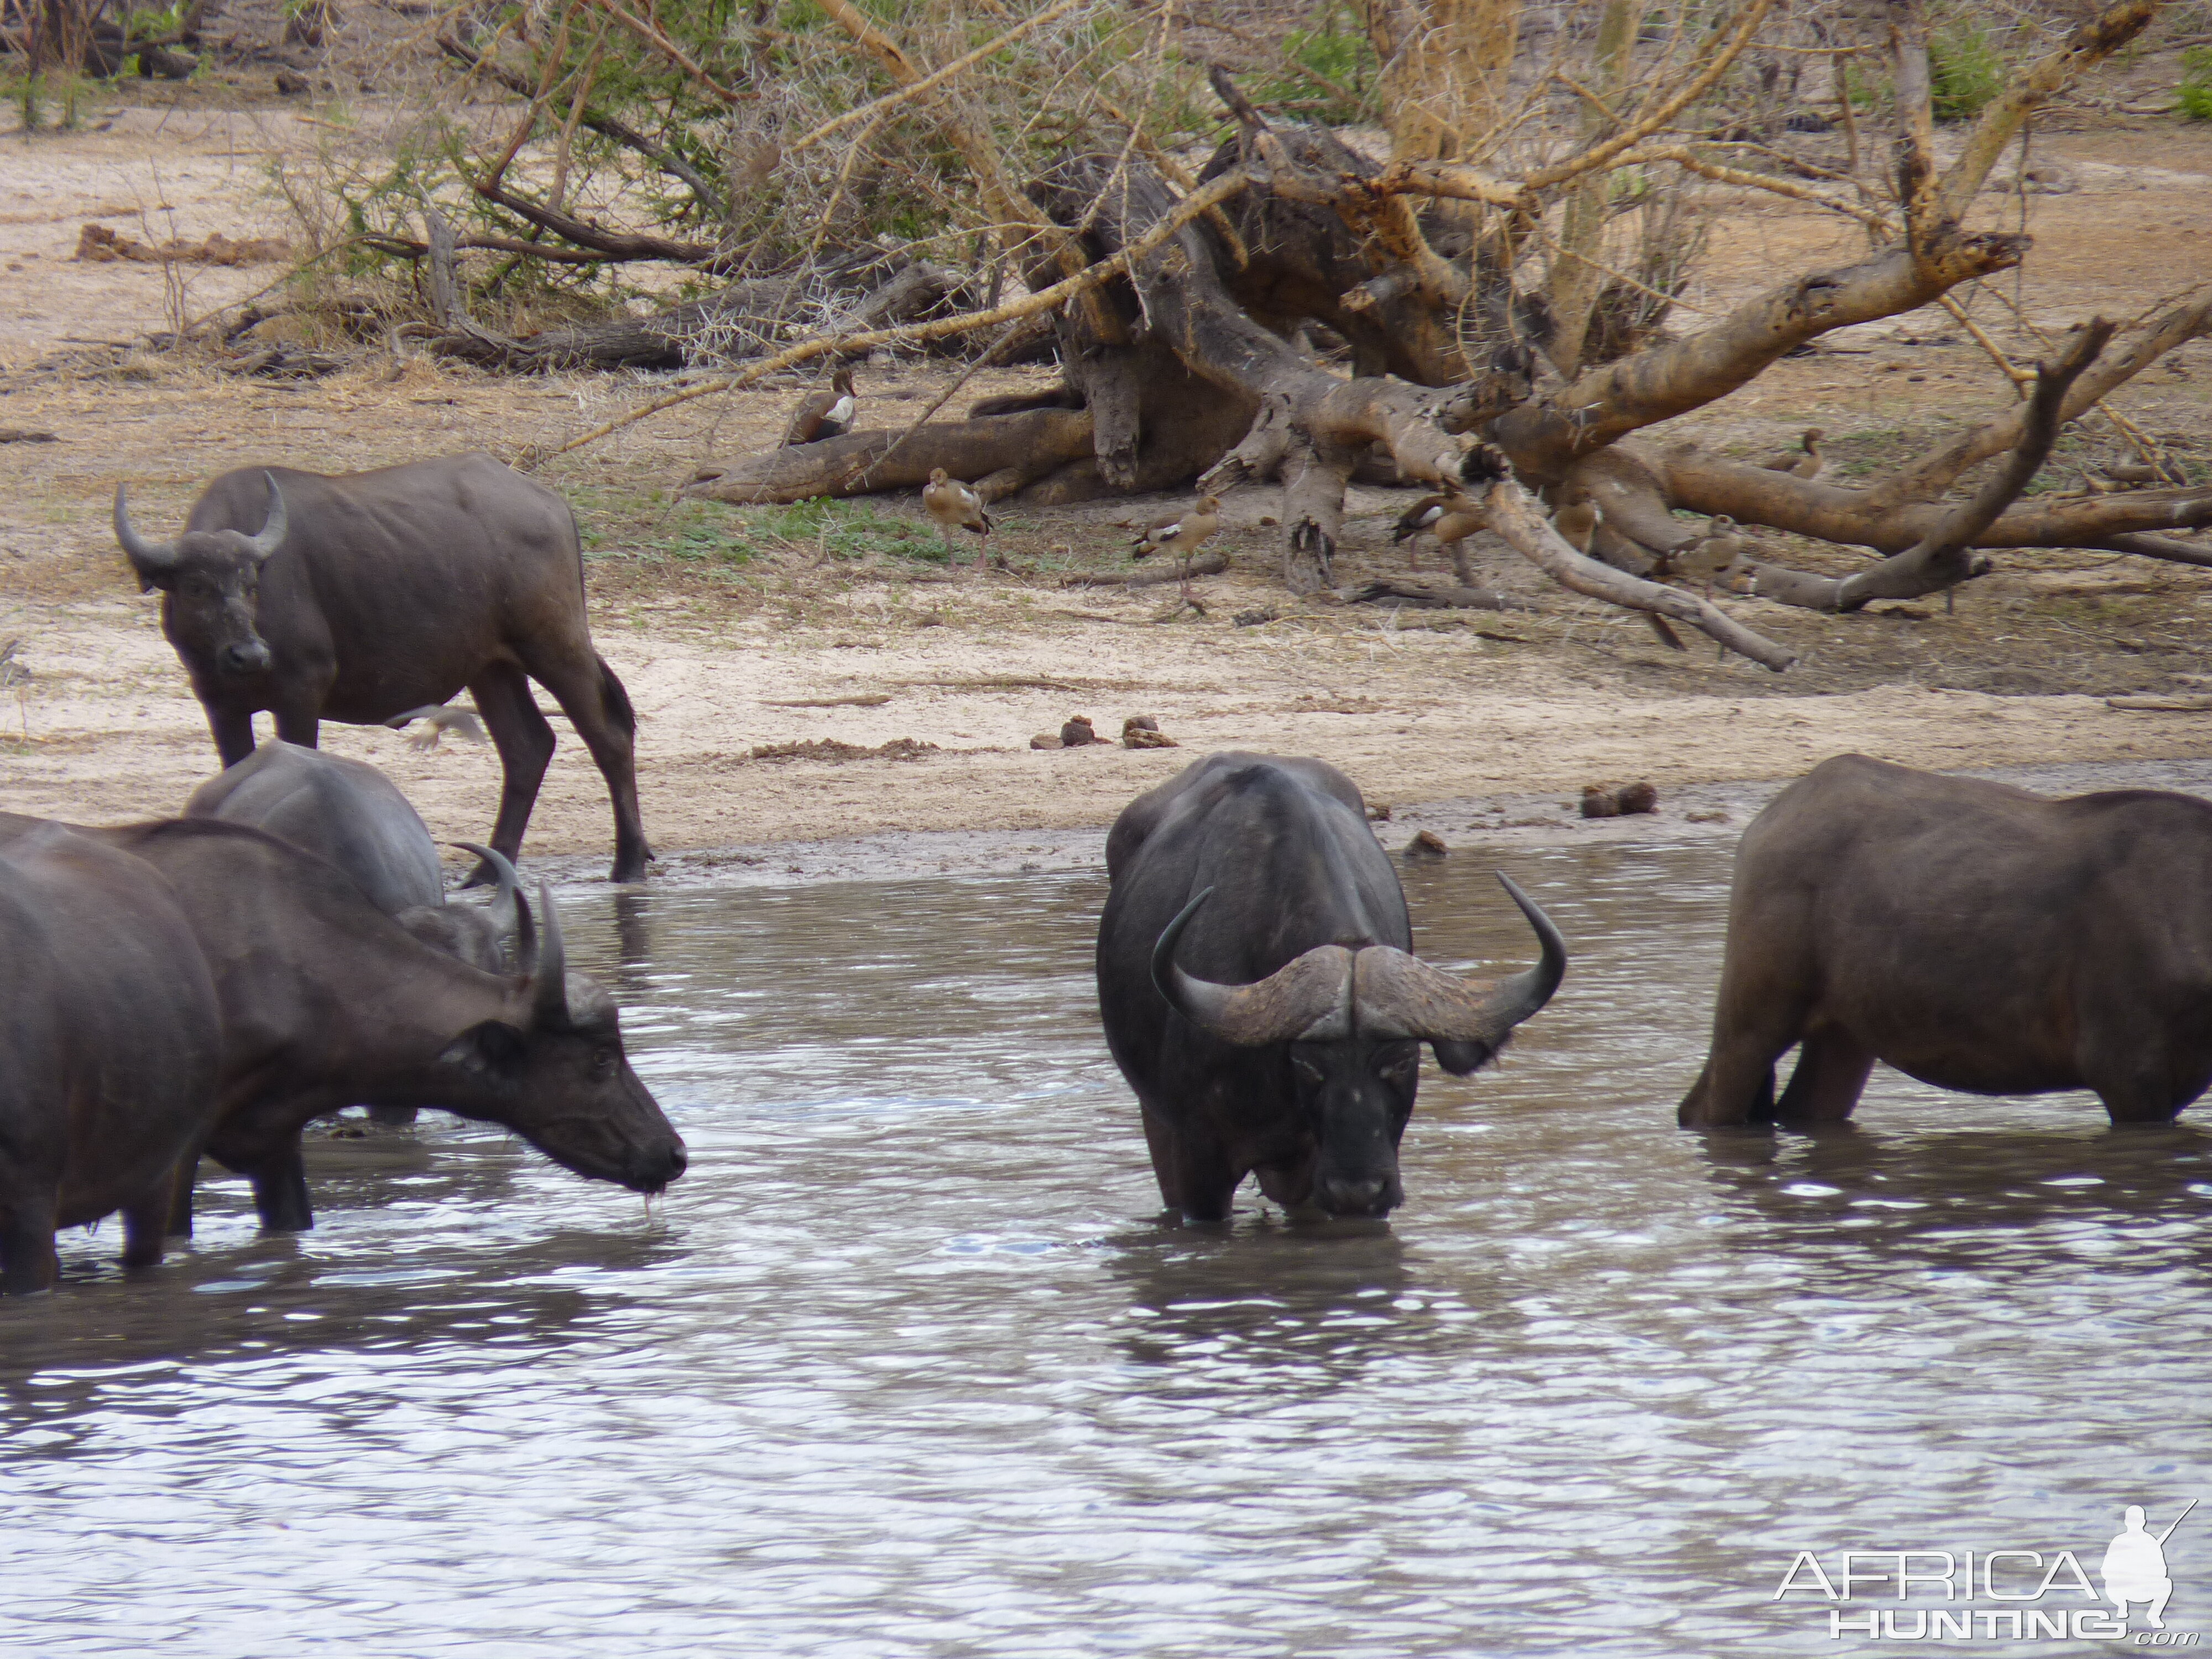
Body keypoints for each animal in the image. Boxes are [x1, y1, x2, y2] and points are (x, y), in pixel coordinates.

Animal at [113, 456, 646, 889]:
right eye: (197, 586)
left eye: (250, 585)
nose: (250, 654)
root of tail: (551, 503)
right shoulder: (219, 705)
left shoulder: (300, 692)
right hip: (491, 667)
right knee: (528, 746)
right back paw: (486, 871)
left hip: (556, 646)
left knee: (608, 736)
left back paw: (630, 863)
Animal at [1672, 761, 2212, 1141]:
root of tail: (1771, 817)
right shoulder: (2128, 1075)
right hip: (1756, 1014)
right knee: (1706, 1108)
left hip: (1845, 1030)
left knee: (1804, 1110)